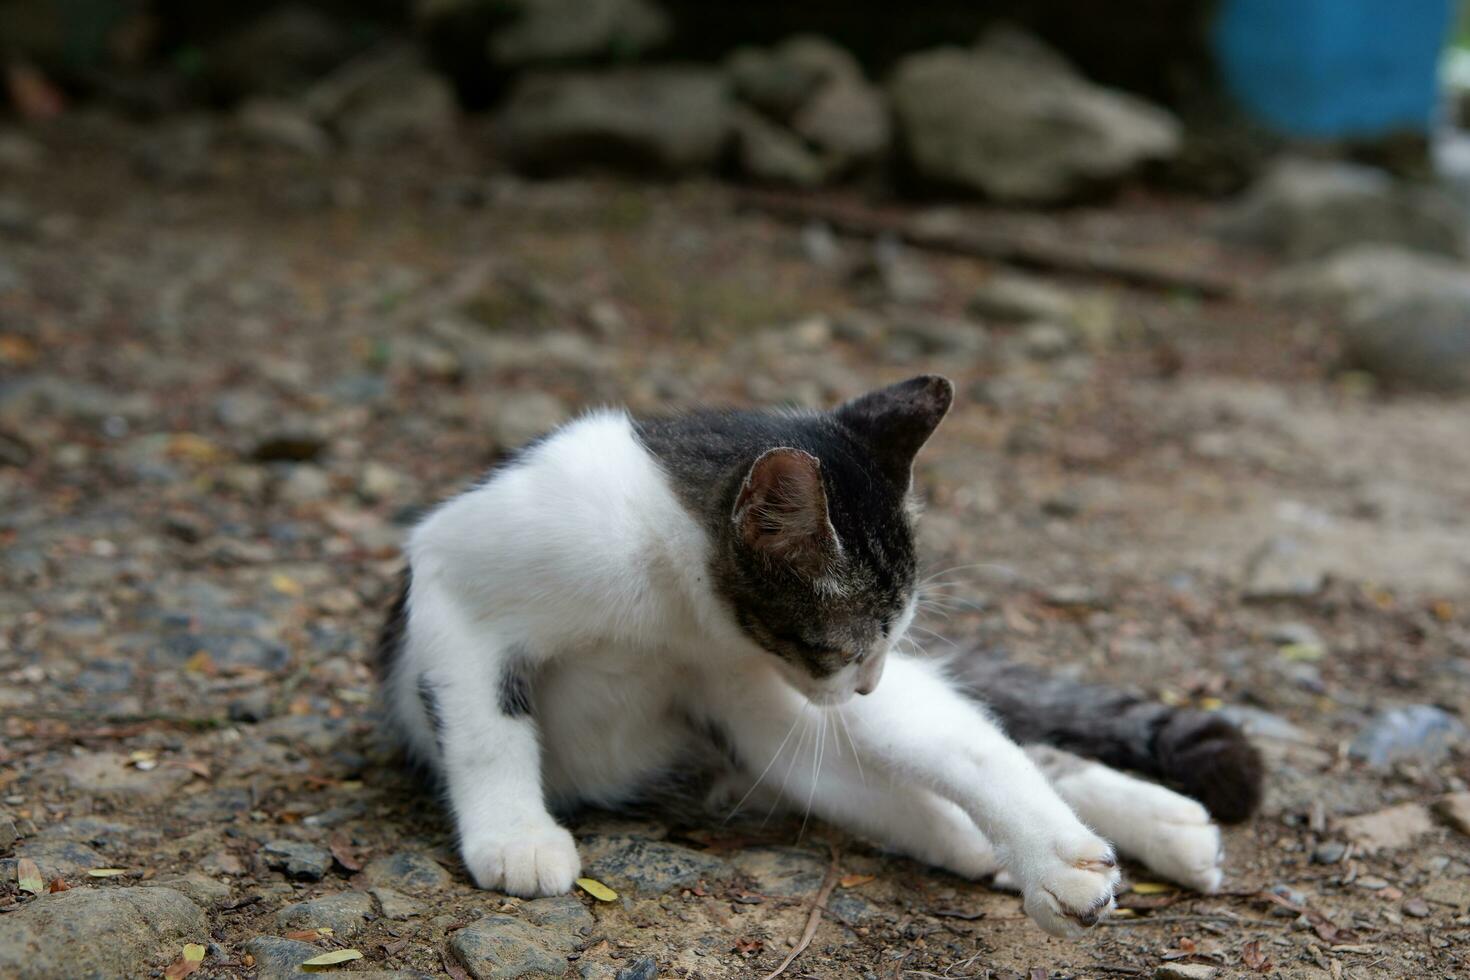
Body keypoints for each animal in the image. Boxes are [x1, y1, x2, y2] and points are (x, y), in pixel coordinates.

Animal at [373, 373, 1258, 934]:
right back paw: (991, 841)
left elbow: (971, 747)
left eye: (888, 638)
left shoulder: (766, 675)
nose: (866, 684)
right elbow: (486, 727)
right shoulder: (452, 577)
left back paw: (1122, 835)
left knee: (981, 744)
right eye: (844, 644)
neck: (670, 606)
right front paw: (516, 836)